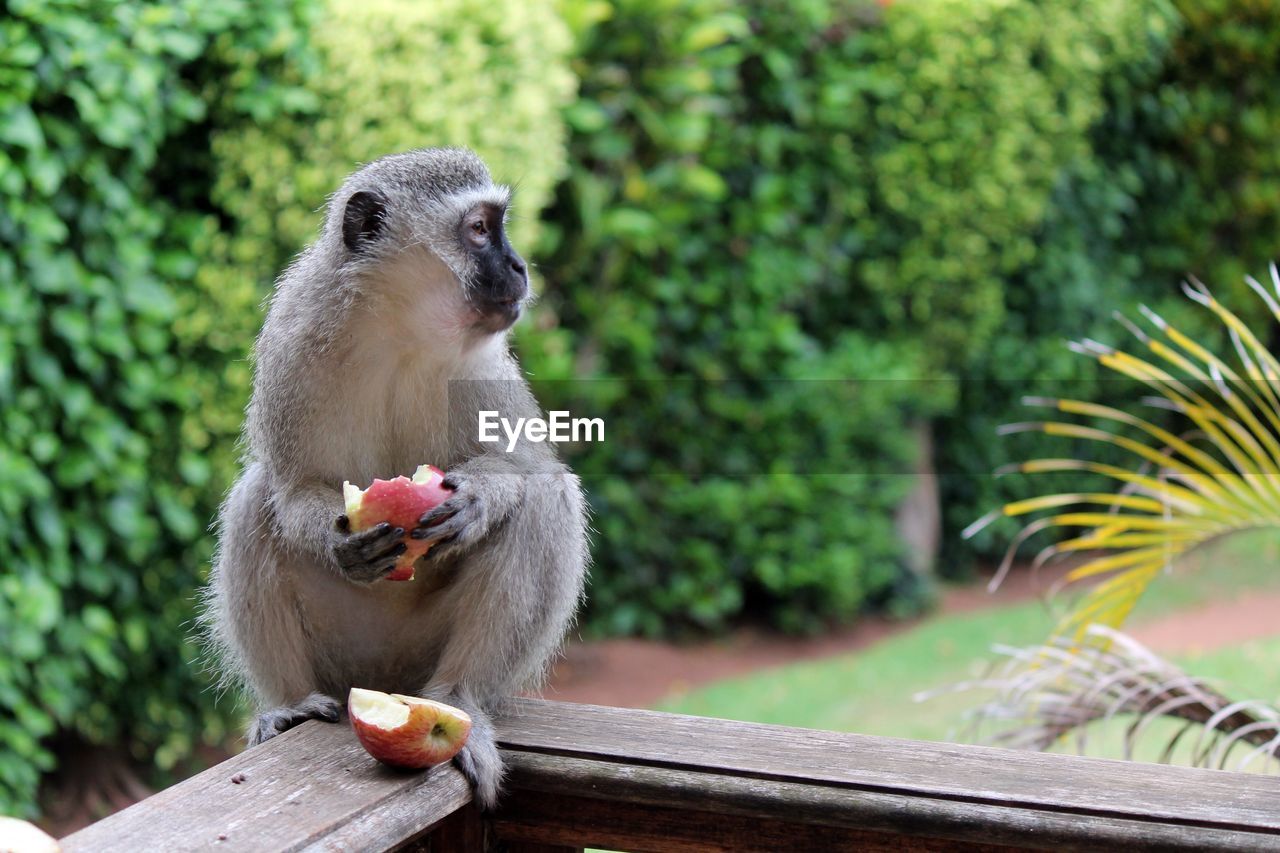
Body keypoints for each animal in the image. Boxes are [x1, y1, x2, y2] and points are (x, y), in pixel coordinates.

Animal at [203, 146, 588, 804]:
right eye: (479, 229)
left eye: (496, 225)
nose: (519, 266)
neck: (398, 329)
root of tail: (385, 679)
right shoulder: (293, 338)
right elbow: (294, 486)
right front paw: (341, 542)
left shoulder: (486, 362)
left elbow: (529, 468)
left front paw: (479, 499)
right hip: (343, 650)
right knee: (257, 497)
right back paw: (291, 704)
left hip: (420, 653)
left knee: (548, 498)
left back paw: (459, 697)